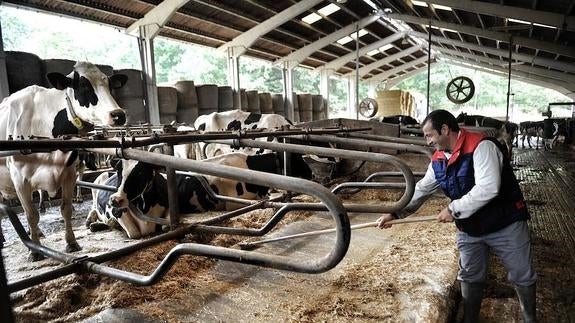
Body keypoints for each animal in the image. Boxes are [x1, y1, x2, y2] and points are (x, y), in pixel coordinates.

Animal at [0, 61, 127, 260]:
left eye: (109, 85)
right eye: (83, 85)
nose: (118, 114)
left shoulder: (69, 174)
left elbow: (65, 209)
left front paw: (71, 243)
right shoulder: (20, 180)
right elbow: (31, 214)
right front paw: (34, 250)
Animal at [86, 151, 282, 238]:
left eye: (140, 173)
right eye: (119, 171)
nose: (115, 199)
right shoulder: (233, 202)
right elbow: (133, 232)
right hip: (98, 185)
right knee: (93, 209)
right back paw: (92, 222)